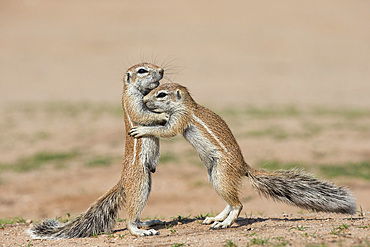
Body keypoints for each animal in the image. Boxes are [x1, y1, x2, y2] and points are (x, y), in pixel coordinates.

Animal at [28, 62, 167, 238]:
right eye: (142, 70)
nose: (162, 71)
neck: (135, 90)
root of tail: (123, 181)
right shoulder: (132, 102)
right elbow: (143, 115)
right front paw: (164, 115)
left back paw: (148, 223)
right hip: (140, 181)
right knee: (131, 216)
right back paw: (139, 231)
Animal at [129, 83, 356, 230]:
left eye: (161, 94)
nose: (145, 100)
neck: (187, 106)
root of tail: (243, 167)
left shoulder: (180, 119)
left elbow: (167, 131)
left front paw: (141, 130)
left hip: (221, 174)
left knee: (238, 205)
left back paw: (224, 224)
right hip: (214, 175)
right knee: (230, 202)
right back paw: (215, 219)